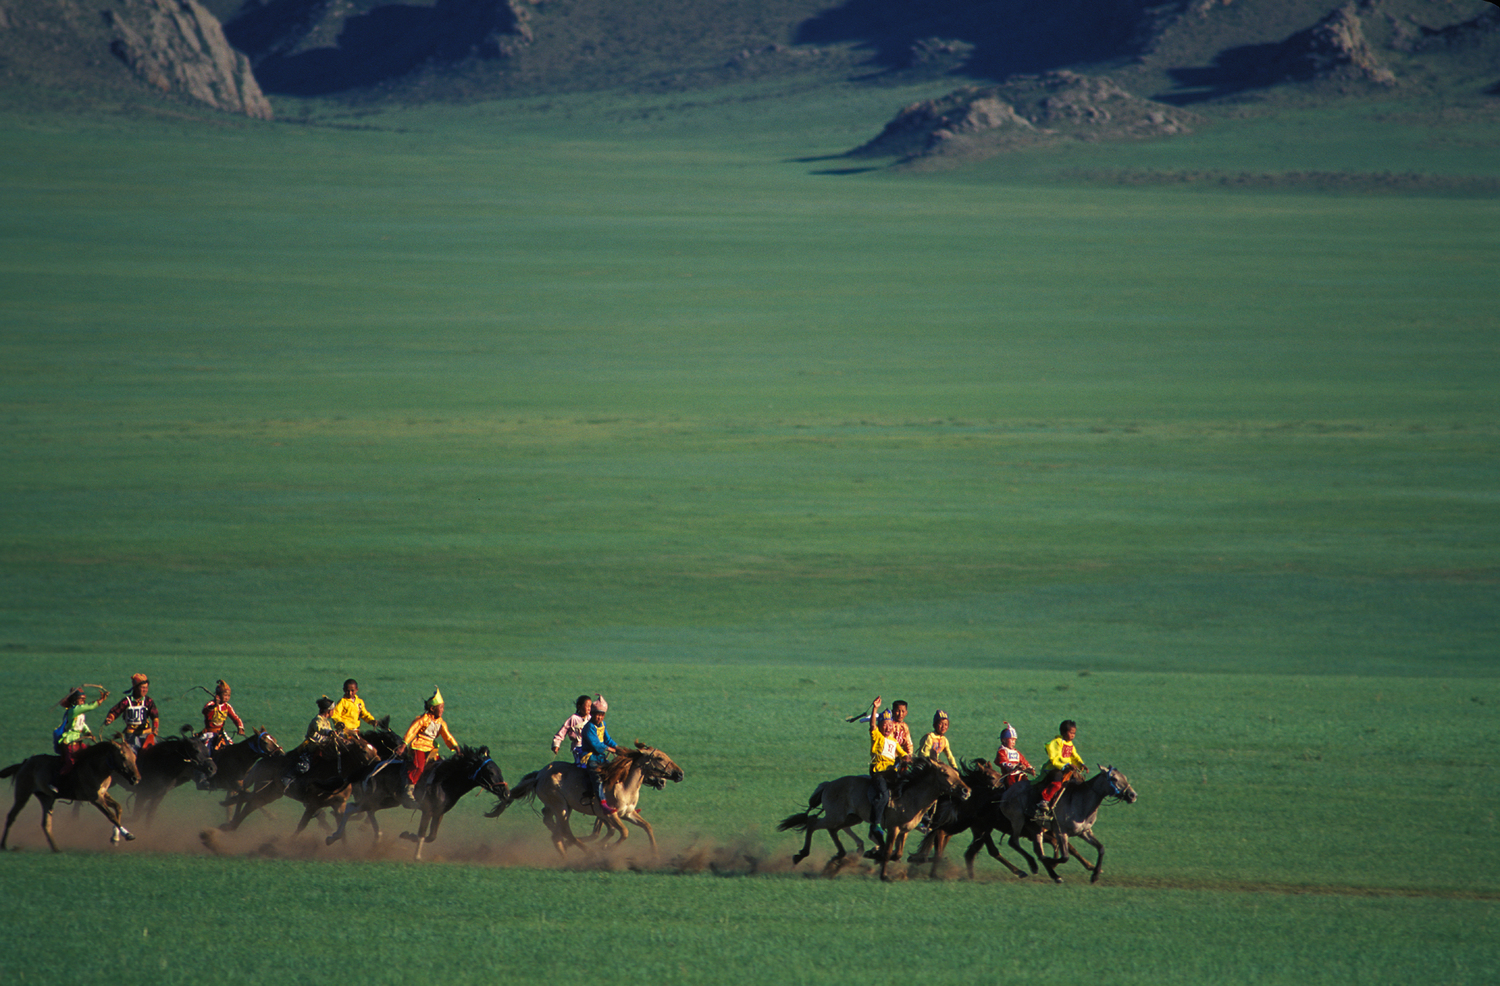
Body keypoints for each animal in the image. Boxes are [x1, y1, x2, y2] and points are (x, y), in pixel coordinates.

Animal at [1, 735, 141, 852]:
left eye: (134, 757)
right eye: (123, 757)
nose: (136, 778)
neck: (96, 767)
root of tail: (25, 762)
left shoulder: (103, 794)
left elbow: (118, 807)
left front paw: (115, 838)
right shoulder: (95, 798)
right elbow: (111, 815)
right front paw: (128, 835)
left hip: (46, 798)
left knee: (46, 823)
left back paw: (56, 848)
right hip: (23, 793)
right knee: (11, 816)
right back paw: (4, 845)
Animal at [489, 738, 684, 852]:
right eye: (659, 758)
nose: (680, 774)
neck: (623, 785)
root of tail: (539, 775)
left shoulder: (627, 813)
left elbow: (647, 827)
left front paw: (655, 853)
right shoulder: (610, 814)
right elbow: (622, 832)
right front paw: (606, 848)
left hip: (558, 806)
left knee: (551, 822)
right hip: (561, 806)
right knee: (565, 831)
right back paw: (584, 851)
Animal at [774, 756, 972, 882]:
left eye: (956, 773)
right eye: (945, 774)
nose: (966, 791)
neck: (911, 797)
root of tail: (828, 784)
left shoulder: (904, 831)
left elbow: (897, 853)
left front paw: (874, 854)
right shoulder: (893, 828)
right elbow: (889, 851)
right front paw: (884, 875)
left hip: (851, 818)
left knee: (831, 829)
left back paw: (838, 857)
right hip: (836, 816)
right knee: (813, 823)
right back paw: (801, 855)